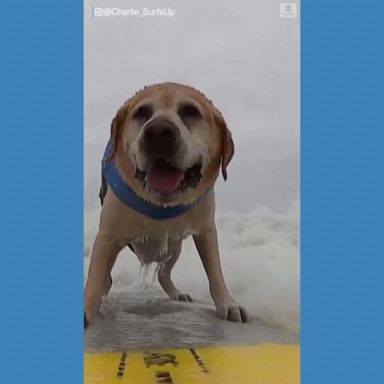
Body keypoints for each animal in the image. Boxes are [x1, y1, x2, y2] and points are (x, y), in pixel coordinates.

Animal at [84, 82, 249, 328]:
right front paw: (87, 307)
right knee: (107, 276)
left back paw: (176, 292)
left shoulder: (206, 232)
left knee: (164, 273)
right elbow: (95, 276)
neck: (161, 205)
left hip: (173, 249)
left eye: (191, 111)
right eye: (141, 113)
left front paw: (228, 304)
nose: (158, 132)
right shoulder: (108, 236)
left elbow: (215, 273)